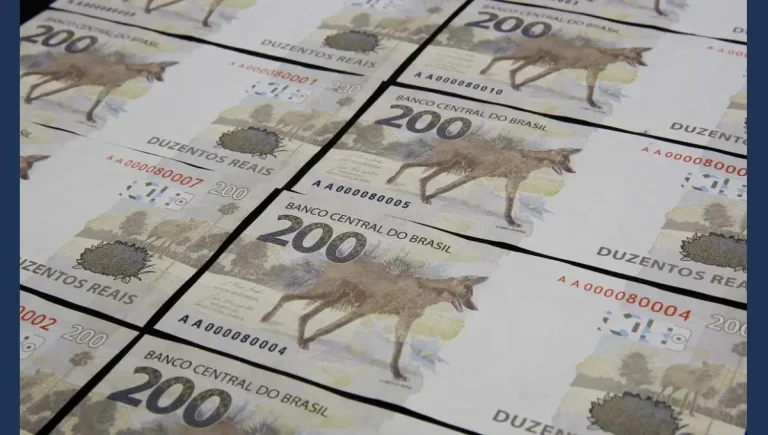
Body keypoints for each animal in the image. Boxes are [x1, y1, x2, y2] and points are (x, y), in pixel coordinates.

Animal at [21, 51, 178, 123]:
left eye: (162, 71)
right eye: (158, 71)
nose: (161, 80)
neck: (126, 71)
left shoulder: (108, 87)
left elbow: (99, 99)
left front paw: (89, 117)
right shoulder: (84, 81)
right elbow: (55, 90)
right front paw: (36, 98)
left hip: (63, 73)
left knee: (38, 80)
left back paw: (29, 96)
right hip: (62, 71)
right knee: (32, 74)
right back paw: (27, 94)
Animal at [260, 258, 487, 381]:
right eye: (467, 294)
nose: (475, 308)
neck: (426, 290)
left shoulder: (403, 320)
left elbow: (398, 349)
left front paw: (396, 373)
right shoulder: (363, 310)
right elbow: (329, 328)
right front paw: (311, 338)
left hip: (331, 298)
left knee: (303, 315)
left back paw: (300, 339)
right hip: (326, 293)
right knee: (287, 296)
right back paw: (268, 318)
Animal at [386, 140, 581, 227]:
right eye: (564, 161)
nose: (573, 172)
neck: (528, 160)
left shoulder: (511, 182)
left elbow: (509, 203)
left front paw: (509, 221)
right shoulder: (476, 173)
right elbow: (448, 187)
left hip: (444, 166)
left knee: (423, 178)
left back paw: (423, 196)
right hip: (439, 163)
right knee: (407, 164)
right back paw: (391, 180)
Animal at [479, 34, 652, 109]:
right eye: (637, 56)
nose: (645, 64)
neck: (604, 54)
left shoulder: (591, 72)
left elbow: (590, 90)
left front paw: (591, 103)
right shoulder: (559, 66)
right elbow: (534, 77)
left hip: (531, 59)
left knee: (512, 70)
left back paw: (513, 84)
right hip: (525, 56)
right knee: (497, 58)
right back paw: (484, 71)